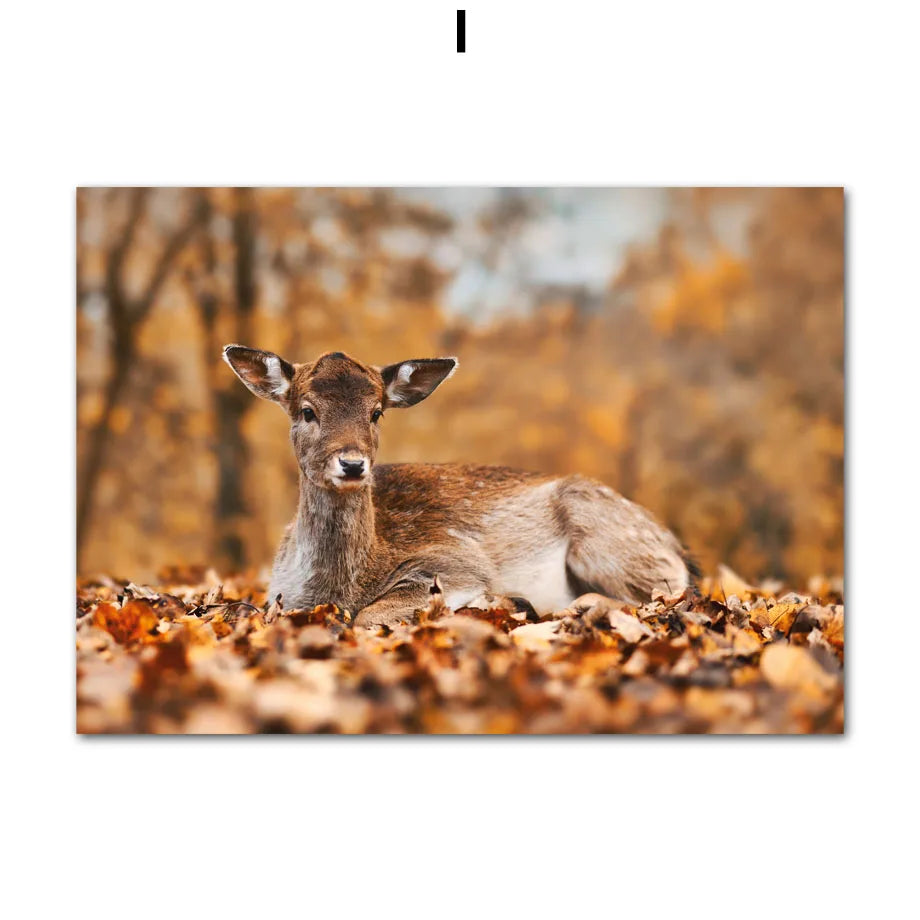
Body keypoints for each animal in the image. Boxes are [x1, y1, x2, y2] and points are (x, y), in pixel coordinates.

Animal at [223, 345, 697, 628]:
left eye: (376, 412)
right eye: (307, 411)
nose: (353, 464)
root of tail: (676, 544)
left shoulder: (455, 562)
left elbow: (369, 616)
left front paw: (498, 603)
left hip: (605, 539)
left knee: (664, 590)